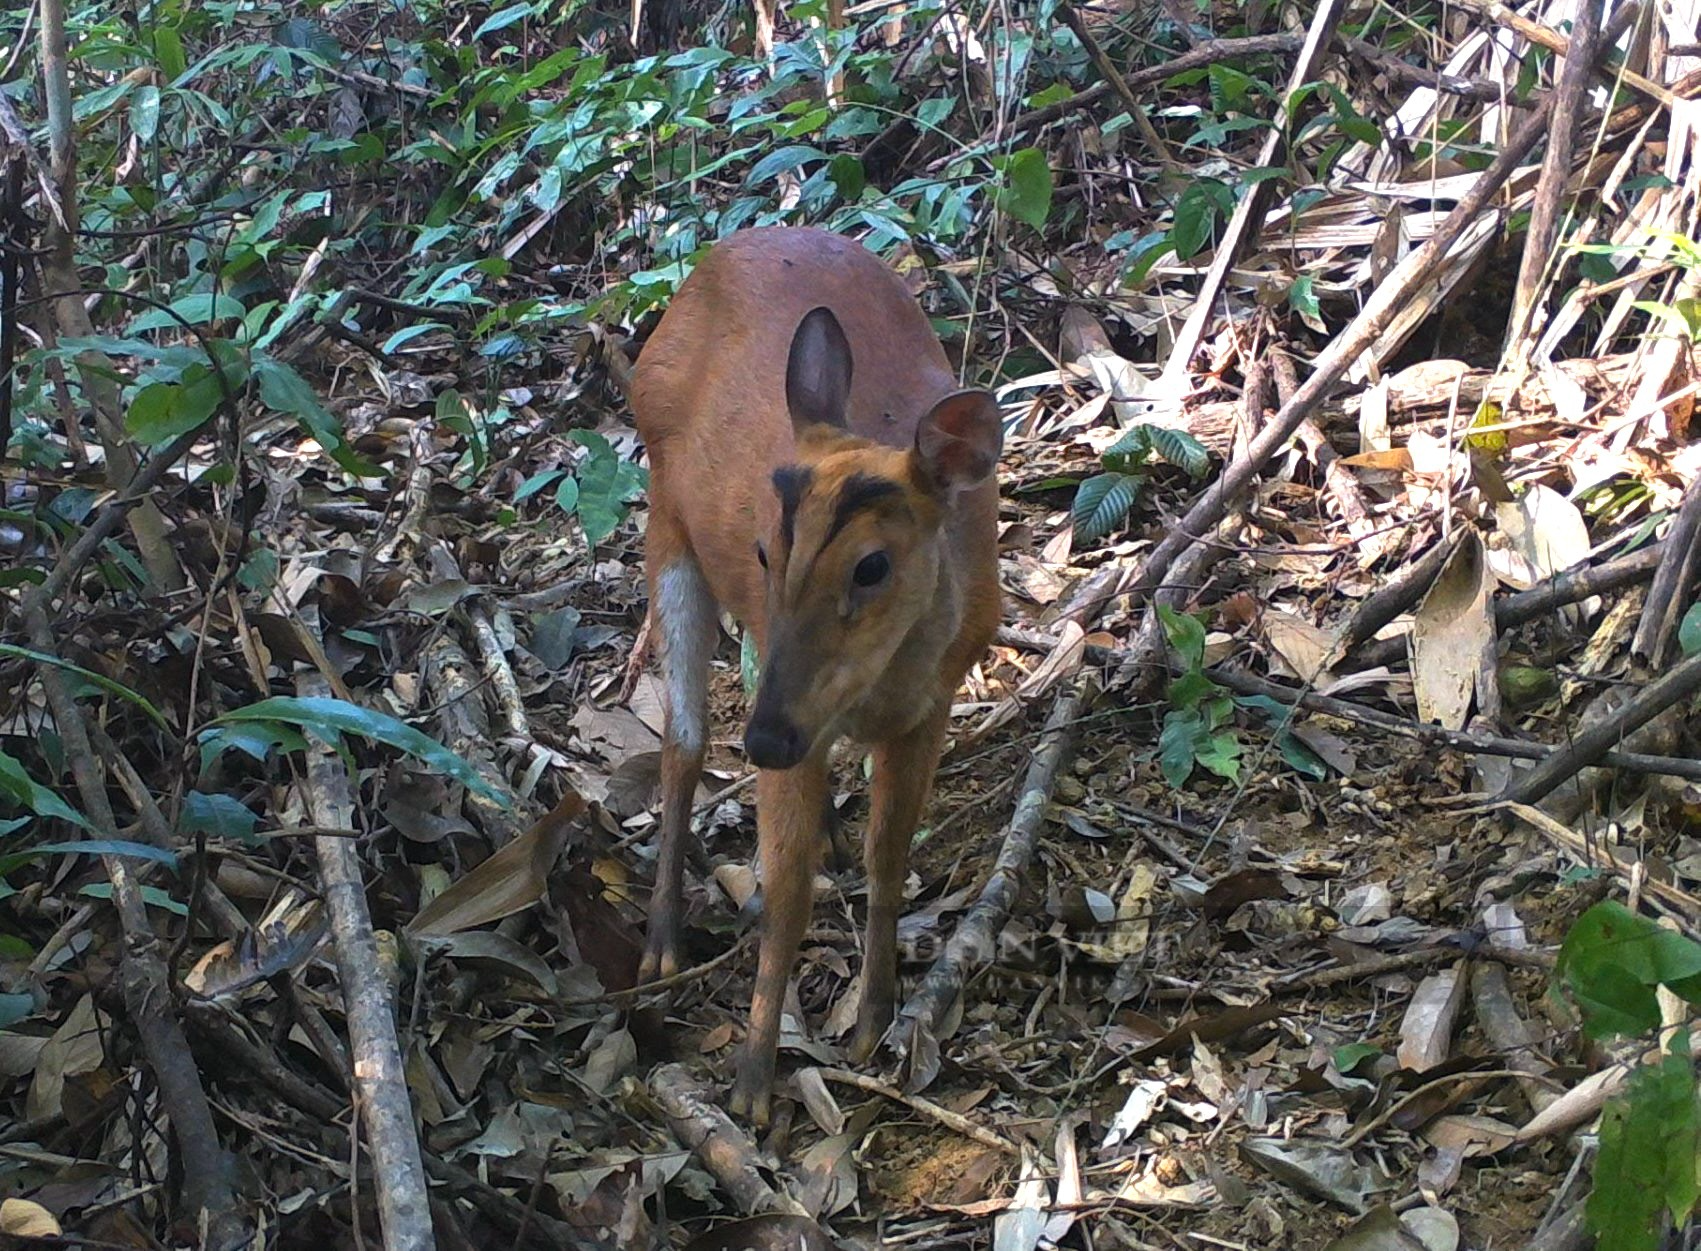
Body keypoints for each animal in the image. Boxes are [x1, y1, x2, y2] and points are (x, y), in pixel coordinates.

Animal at [632, 224, 1000, 1123]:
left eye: (872, 566)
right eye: (765, 550)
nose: (764, 740)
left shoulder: (931, 702)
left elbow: (889, 854)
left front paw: (874, 1020)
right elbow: (788, 890)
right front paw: (752, 1083)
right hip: (665, 519)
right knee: (683, 738)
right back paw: (660, 947)